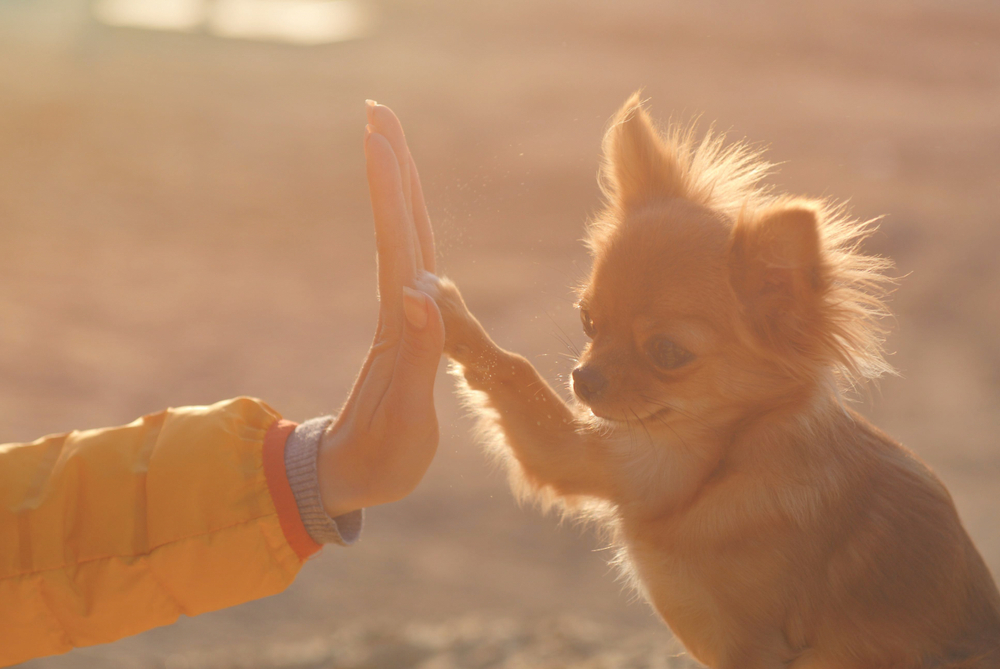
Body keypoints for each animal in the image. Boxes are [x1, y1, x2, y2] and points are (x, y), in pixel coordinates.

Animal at [416, 95, 1000, 668]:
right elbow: (514, 371)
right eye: (587, 321)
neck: (723, 459)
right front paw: (448, 316)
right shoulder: (596, 460)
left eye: (667, 352)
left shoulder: (754, 647)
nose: (583, 379)